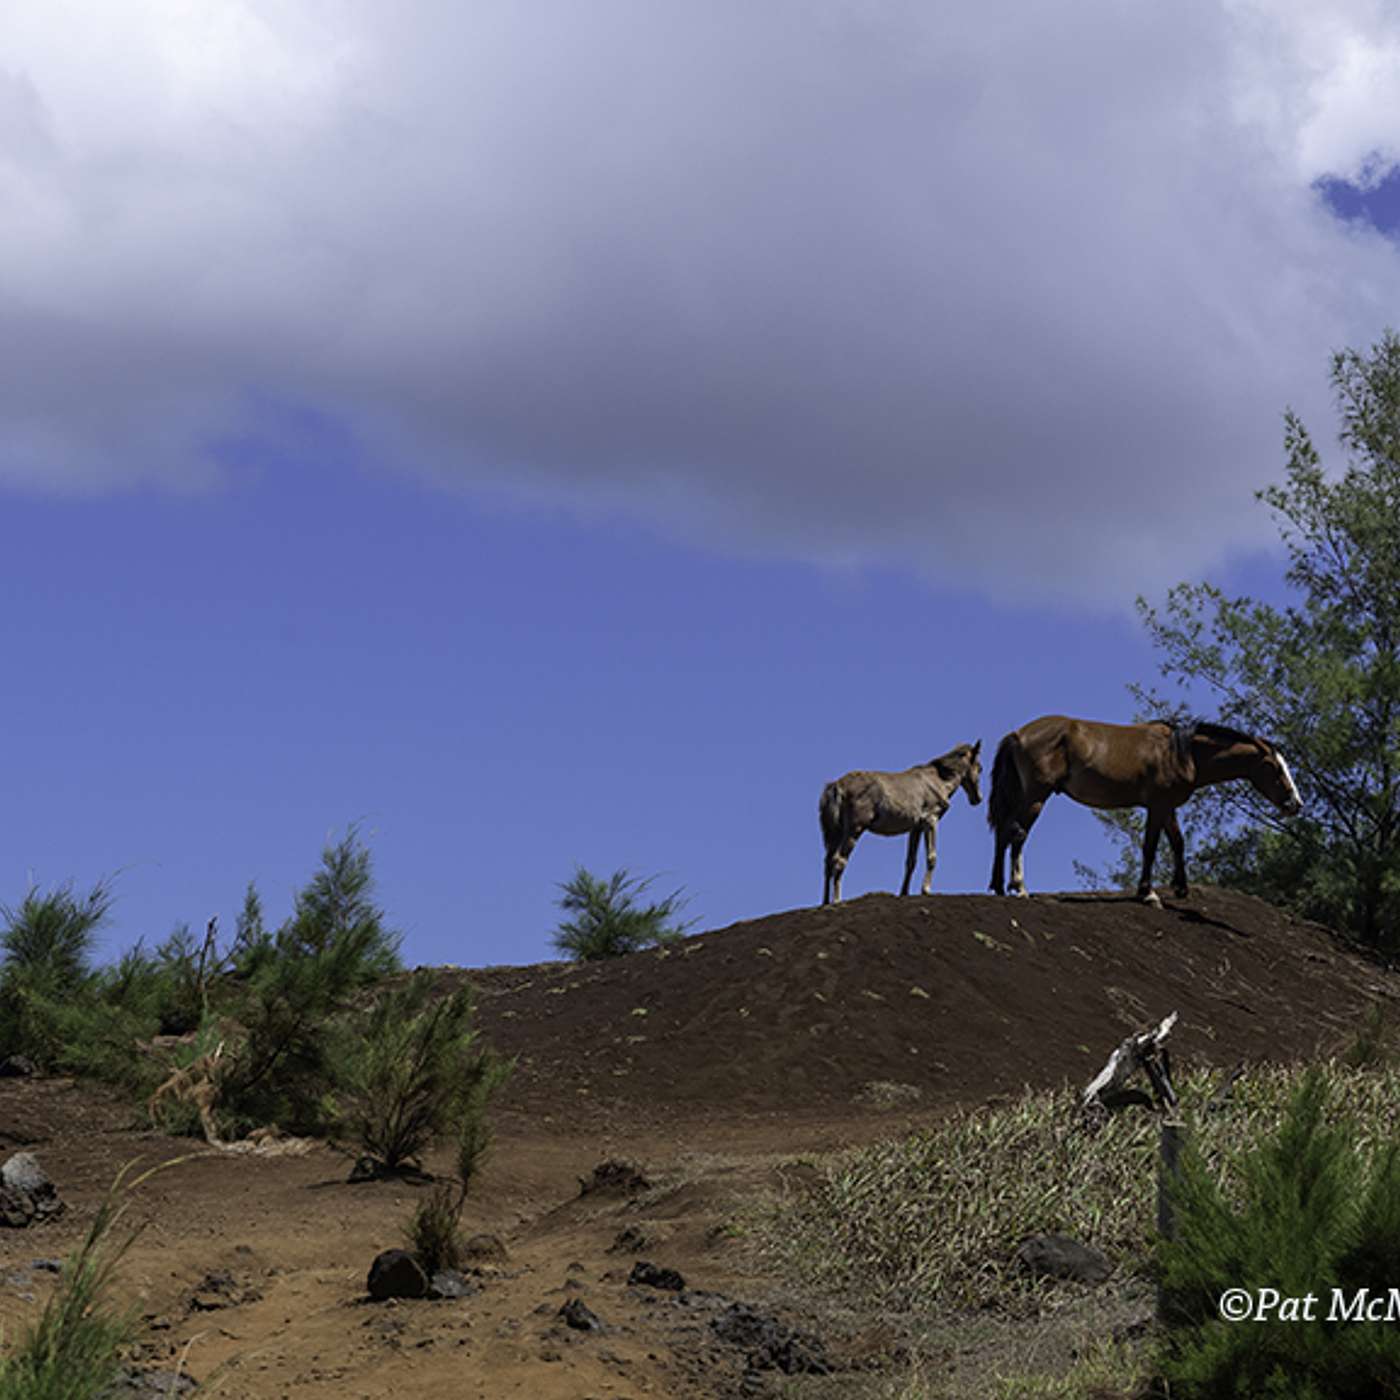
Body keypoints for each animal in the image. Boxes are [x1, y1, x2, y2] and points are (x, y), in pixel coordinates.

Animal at [817, 744, 985, 907]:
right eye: (980, 767)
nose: (978, 798)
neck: (938, 780)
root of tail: (837, 785)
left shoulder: (916, 828)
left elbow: (911, 861)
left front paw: (904, 892)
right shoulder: (931, 820)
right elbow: (931, 857)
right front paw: (925, 889)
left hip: (835, 832)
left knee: (827, 862)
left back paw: (825, 902)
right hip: (854, 830)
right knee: (839, 860)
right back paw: (837, 900)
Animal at [985, 716, 1299, 901]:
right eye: (1273, 767)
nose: (1295, 803)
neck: (1180, 753)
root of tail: (1017, 734)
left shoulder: (1167, 807)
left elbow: (1178, 842)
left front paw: (1180, 888)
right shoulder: (1157, 806)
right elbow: (1150, 846)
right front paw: (1147, 893)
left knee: (1003, 831)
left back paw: (999, 886)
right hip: (1036, 796)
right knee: (1017, 834)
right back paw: (1019, 887)